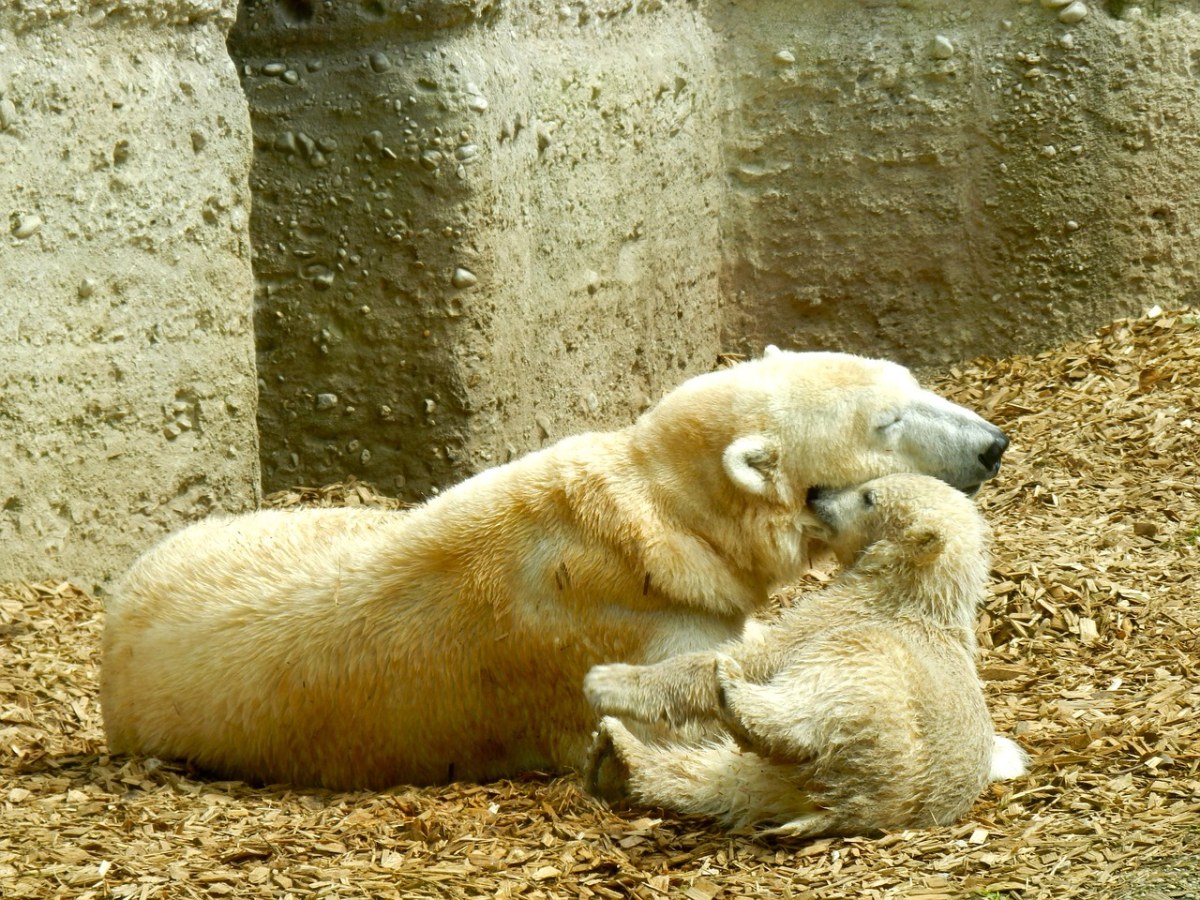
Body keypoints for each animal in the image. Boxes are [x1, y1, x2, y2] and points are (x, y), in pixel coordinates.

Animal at [103, 348, 1008, 792]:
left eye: (912, 381)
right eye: (886, 423)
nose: (992, 444)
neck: (664, 515)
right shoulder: (619, 626)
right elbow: (688, 710)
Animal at [585, 472, 1027, 840]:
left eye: (868, 496)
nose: (817, 494)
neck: (919, 594)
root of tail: (858, 807)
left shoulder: (847, 613)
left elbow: (763, 656)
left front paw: (607, 681)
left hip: (885, 708)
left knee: (819, 697)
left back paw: (731, 693)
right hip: (792, 781)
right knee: (727, 779)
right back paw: (619, 755)